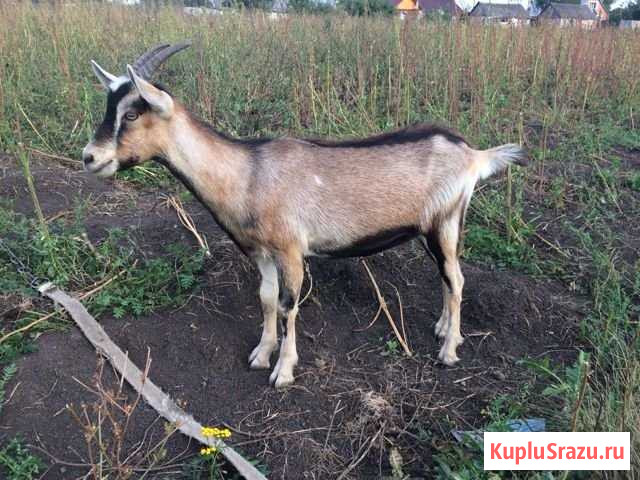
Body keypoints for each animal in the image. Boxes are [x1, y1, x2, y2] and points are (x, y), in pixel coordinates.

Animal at [83, 43, 527, 388]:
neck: (249, 172)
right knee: (447, 279)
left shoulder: (291, 250)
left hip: (445, 223)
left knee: (456, 279)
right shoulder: (259, 251)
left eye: (133, 114)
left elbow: (287, 306)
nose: (90, 157)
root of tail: (473, 154)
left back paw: (449, 350)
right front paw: (261, 354)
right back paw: (442, 329)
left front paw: (283, 372)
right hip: (432, 230)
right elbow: (265, 299)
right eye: (109, 107)